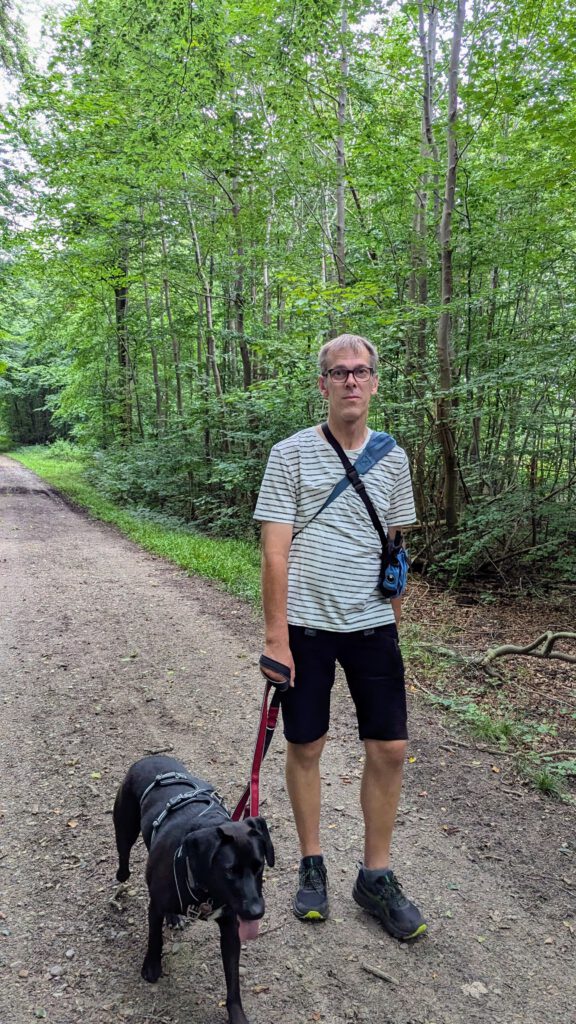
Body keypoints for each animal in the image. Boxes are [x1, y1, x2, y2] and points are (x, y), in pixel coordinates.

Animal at [113, 753, 274, 1024]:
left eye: (259, 865)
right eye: (230, 870)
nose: (256, 912)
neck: (206, 888)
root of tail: (151, 757)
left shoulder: (230, 928)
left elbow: (233, 981)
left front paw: (237, 1015)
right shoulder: (155, 906)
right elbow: (155, 938)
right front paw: (152, 966)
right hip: (124, 827)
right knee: (123, 859)